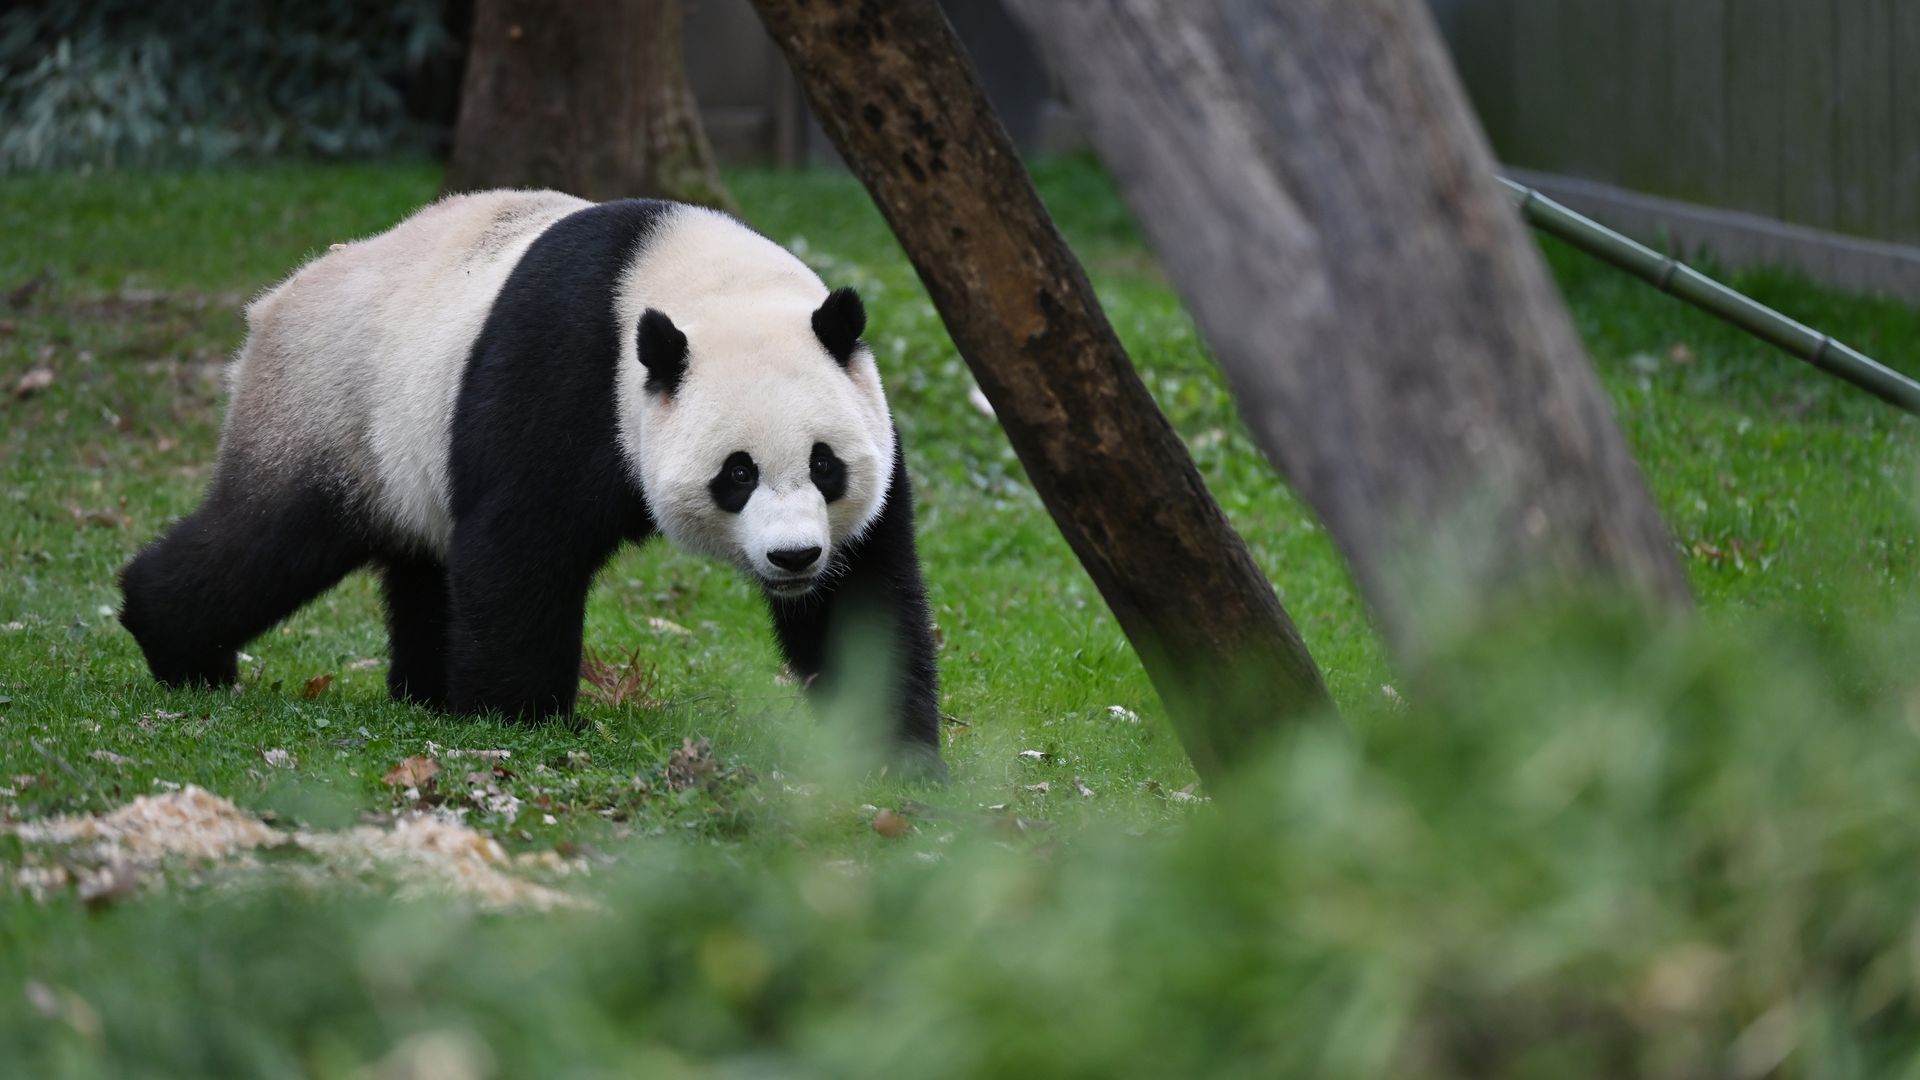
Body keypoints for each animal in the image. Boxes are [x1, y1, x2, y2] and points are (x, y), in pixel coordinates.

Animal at [116, 189, 940, 768]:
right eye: (736, 473)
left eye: (825, 465)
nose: (794, 557)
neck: (703, 284)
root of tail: (274, 301)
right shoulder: (570, 371)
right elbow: (522, 545)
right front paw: (526, 719)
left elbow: (862, 594)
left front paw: (894, 750)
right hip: (332, 408)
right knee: (271, 538)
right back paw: (178, 644)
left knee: (427, 569)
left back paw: (427, 691)